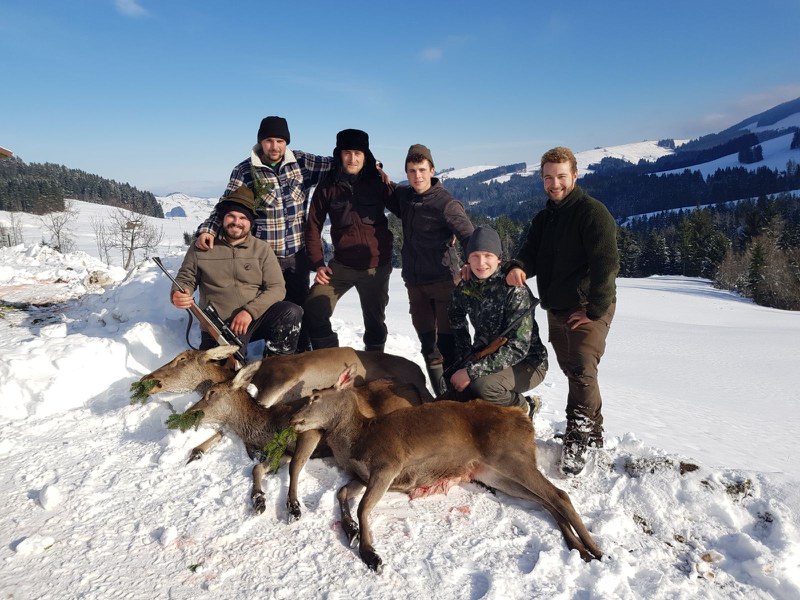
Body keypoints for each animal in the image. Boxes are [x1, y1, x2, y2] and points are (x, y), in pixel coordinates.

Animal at [173, 360, 424, 520]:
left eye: (211, 393)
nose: (189, 412)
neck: (268, 426)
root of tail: (417, 390)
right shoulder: (283, 451)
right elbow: (257, 467)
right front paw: (259, 499)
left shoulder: (309, 431)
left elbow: (295, 467)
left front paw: (293, 506)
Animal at [290, 364, 604, 576]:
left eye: (315, 397)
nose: (293, 419)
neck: (357, 439)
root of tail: (525, 422)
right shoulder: (361, 474)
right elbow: (343, 493)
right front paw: (351, 530)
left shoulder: (389, 463)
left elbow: (363, 506)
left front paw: (371, 554)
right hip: (494, 473)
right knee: (546, 500)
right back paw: (579, 549)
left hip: (512, 456)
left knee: (559, 494)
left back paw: (596, 549)